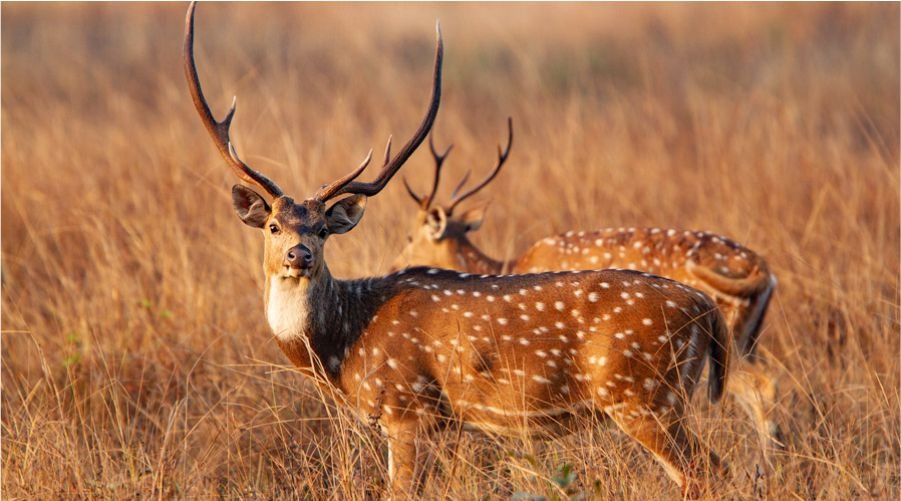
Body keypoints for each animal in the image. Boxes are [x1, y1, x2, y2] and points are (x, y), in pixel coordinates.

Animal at [185, 2, 732, 496]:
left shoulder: (408, 408)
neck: (345, 346)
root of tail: (705, 308)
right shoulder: (441, 424)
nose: (299, 255)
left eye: (322, 228)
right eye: (274, 226)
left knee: (705, 471)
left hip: (644, 393)